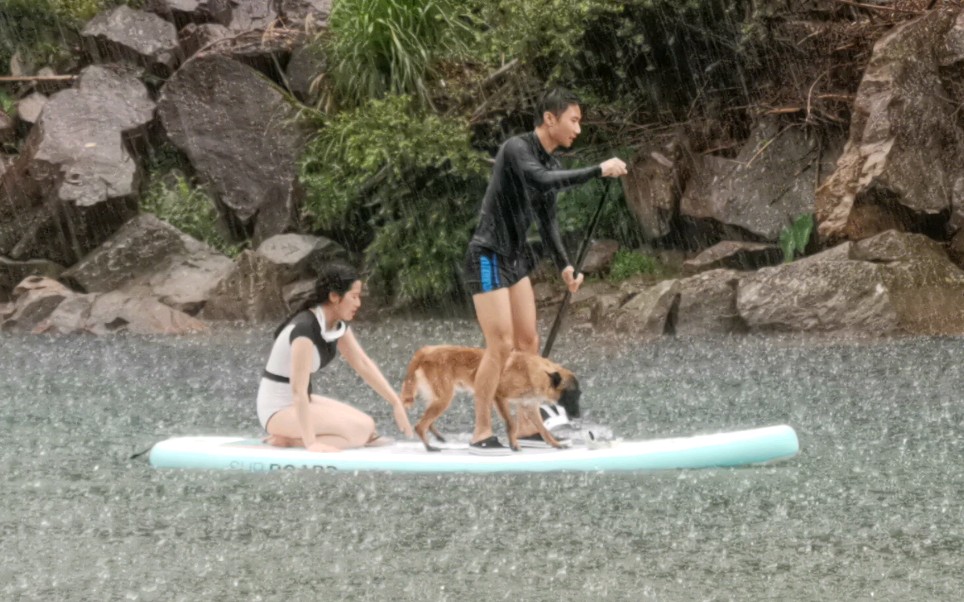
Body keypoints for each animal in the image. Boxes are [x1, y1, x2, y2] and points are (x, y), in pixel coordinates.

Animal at [400, 344, 580, 448]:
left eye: (579, 394)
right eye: (571, 395)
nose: (578, 415)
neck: (533, 372)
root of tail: (426, 351)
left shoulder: (529, 406)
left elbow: (543, 429)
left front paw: (555, 444)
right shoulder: (499, 397)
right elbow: (511, 424)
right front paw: (514, 445)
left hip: (439, 399)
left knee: (428, 421)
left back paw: (437, 438)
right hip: (444, 399)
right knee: (419, 425)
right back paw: (429, 447)